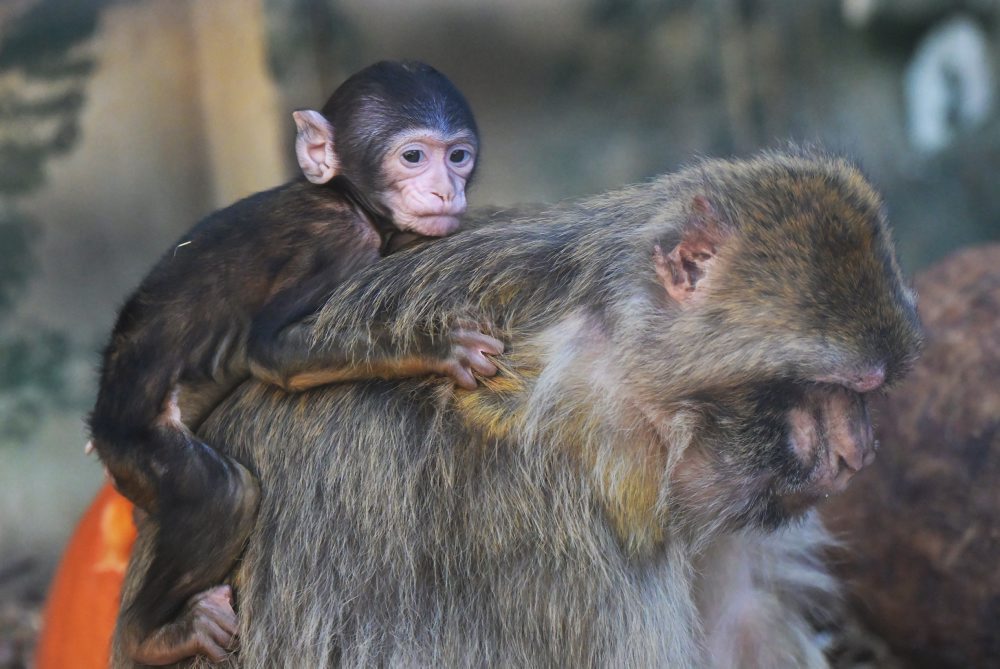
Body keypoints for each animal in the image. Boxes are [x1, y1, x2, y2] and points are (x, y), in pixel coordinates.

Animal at [90, 60, 504, 664]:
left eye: (458, 156)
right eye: (412, 156)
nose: (444, 188)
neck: (344, 196)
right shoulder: (337, 241)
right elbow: (270, 349)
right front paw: (432, 345)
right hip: (136, 442)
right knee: (222, 496)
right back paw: (151, 634)